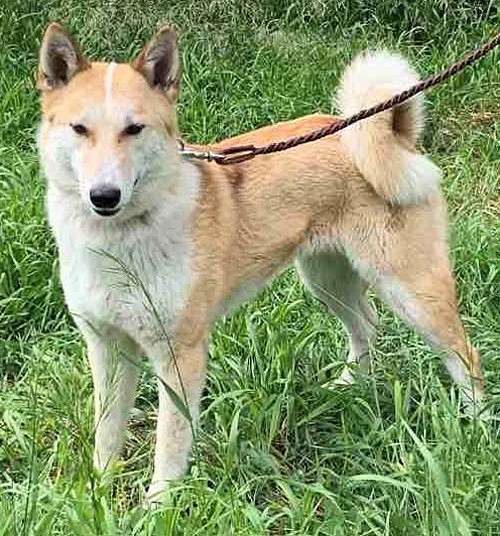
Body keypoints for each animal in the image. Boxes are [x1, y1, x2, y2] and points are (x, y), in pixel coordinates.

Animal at [37, 23, 485, 501]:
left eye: (134, 129)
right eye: (80, 128)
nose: (104, 196)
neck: (120, 242)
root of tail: (393, 135)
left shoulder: (180, 356)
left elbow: (170, 444)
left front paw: (159, 504)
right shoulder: (106, 347)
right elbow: (107, 432)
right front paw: (98, 490)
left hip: (411, 290)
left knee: (466, 356)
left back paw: (475, 429)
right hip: (325, 279)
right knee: (367, 326)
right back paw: (348, 386)